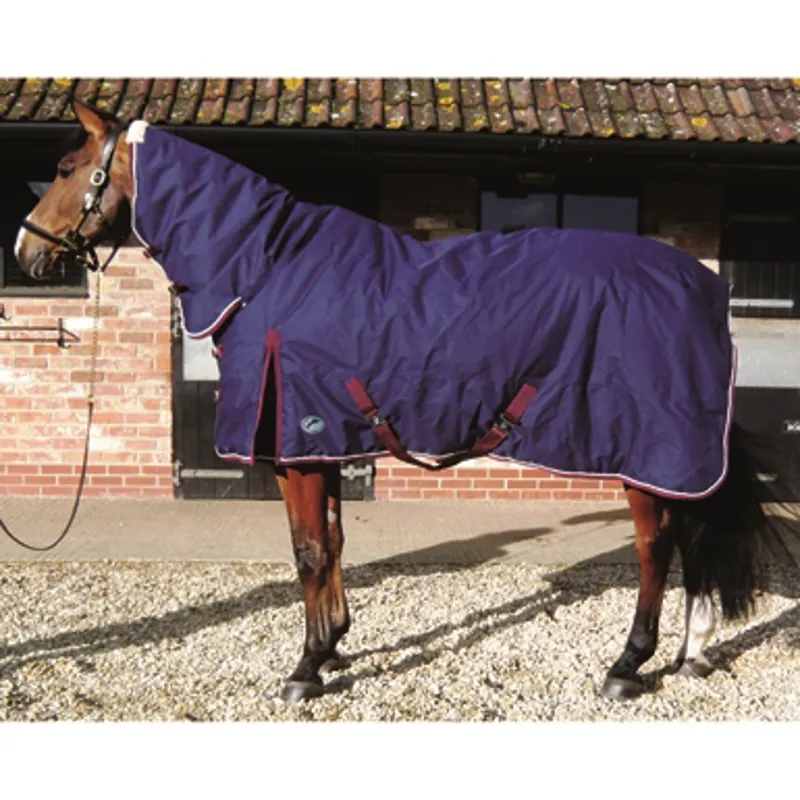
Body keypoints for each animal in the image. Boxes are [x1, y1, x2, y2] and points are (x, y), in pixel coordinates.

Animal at [14, 100, 799, 704]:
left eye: (65, 169)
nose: (26, 251)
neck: (267, 269)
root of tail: (707, 287)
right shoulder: (321, 441)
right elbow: (332, 543)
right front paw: (334, 646)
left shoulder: (295, 448)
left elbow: (306, 552)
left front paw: (305, 669)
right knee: (692, 543)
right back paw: (691, 654)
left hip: (649, 452)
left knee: (657, 549)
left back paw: (628, 664)